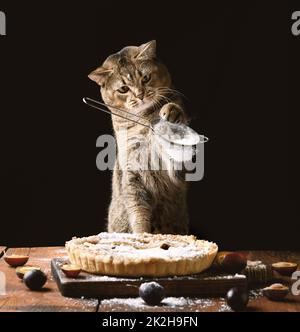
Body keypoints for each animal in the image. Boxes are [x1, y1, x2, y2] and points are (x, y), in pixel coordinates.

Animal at [88, 40, 189, 233]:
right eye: (123, 89)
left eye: (146, 78)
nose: (140, 95)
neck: (145, 119)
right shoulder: (132, 174)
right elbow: (138, 211)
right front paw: (142, 235)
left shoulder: (179, 170)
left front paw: (171, 113)